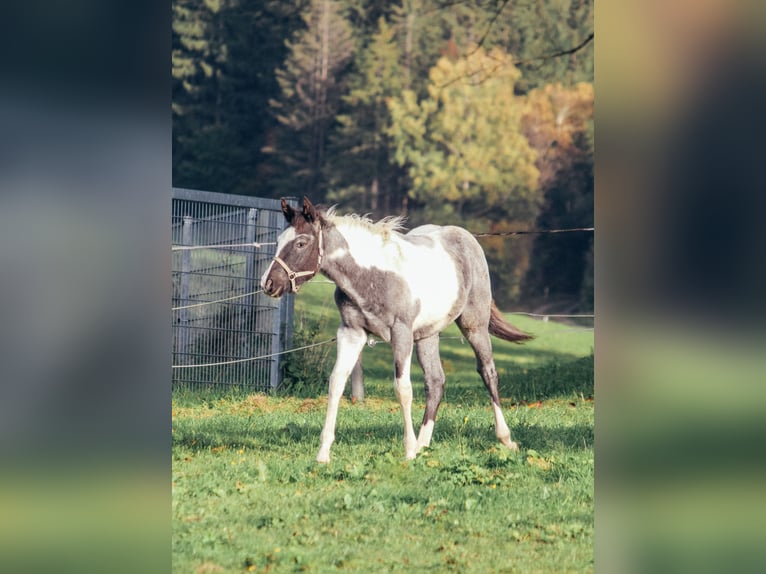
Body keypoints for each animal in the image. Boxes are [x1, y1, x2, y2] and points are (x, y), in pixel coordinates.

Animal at [261, 196, 533, 463]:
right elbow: (336, 382)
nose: (268, 284)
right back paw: (423, 445)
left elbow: (403, 389)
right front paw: (323, 453)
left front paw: (408, 451)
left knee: (488, 372)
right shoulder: (351, 332)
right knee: (435, 381)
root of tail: (466, 238)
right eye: (279, 241)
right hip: (427, 335)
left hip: (473, 325)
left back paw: (505, 439)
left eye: (301, 243)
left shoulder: (400, 333)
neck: (371, 277)